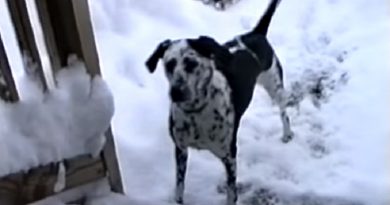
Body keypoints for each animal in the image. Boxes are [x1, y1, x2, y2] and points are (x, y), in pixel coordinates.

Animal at [145, 0, 290, 204]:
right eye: (169, 64)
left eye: (191, 63)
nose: (176, 93)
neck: (197, 112)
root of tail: (256, 33)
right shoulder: (180, 149)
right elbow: (179, 188)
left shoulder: (229, 157)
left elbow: (231, 193)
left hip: (274, 85)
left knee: (284, 112)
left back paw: (287, 133)